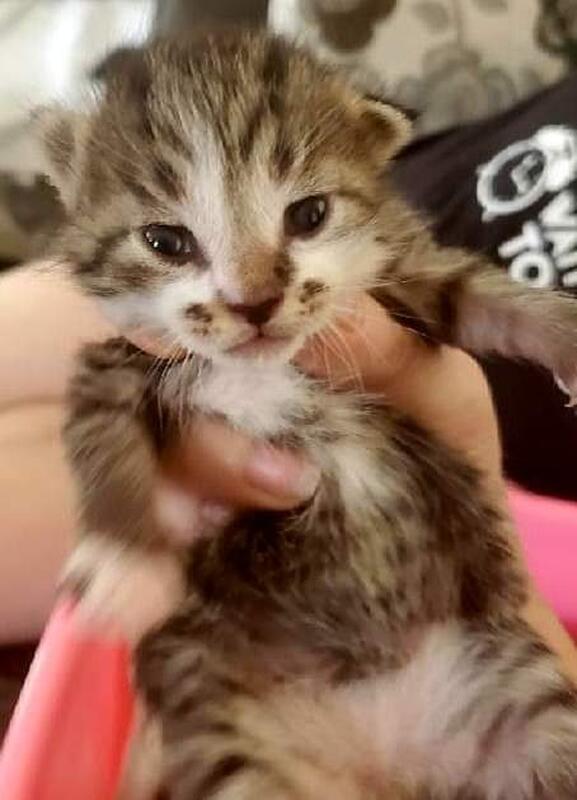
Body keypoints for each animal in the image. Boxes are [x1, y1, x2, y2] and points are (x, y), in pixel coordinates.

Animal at [37, 30, 577, 799]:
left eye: (308, 215)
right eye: (165, 241)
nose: (254, 303)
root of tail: (388, 757)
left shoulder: (403, 277)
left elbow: (485, 294)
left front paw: (566, 334)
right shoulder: (120, 361)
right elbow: (98, 428)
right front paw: (124, 561)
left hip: (514, 687)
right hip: (223, 718)